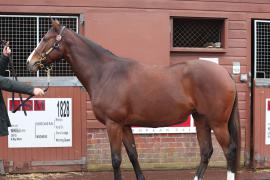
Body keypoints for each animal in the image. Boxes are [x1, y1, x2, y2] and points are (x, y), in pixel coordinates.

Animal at [25, 19, 240, 180]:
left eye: (45, 38)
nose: (29, 63)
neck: (105, 73)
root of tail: (224, 73)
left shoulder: (113, 124)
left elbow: (116, 160)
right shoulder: (125, 125)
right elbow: (133, 155)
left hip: (218, 123)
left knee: (229, 151)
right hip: (201, 120)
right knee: (206, 152)